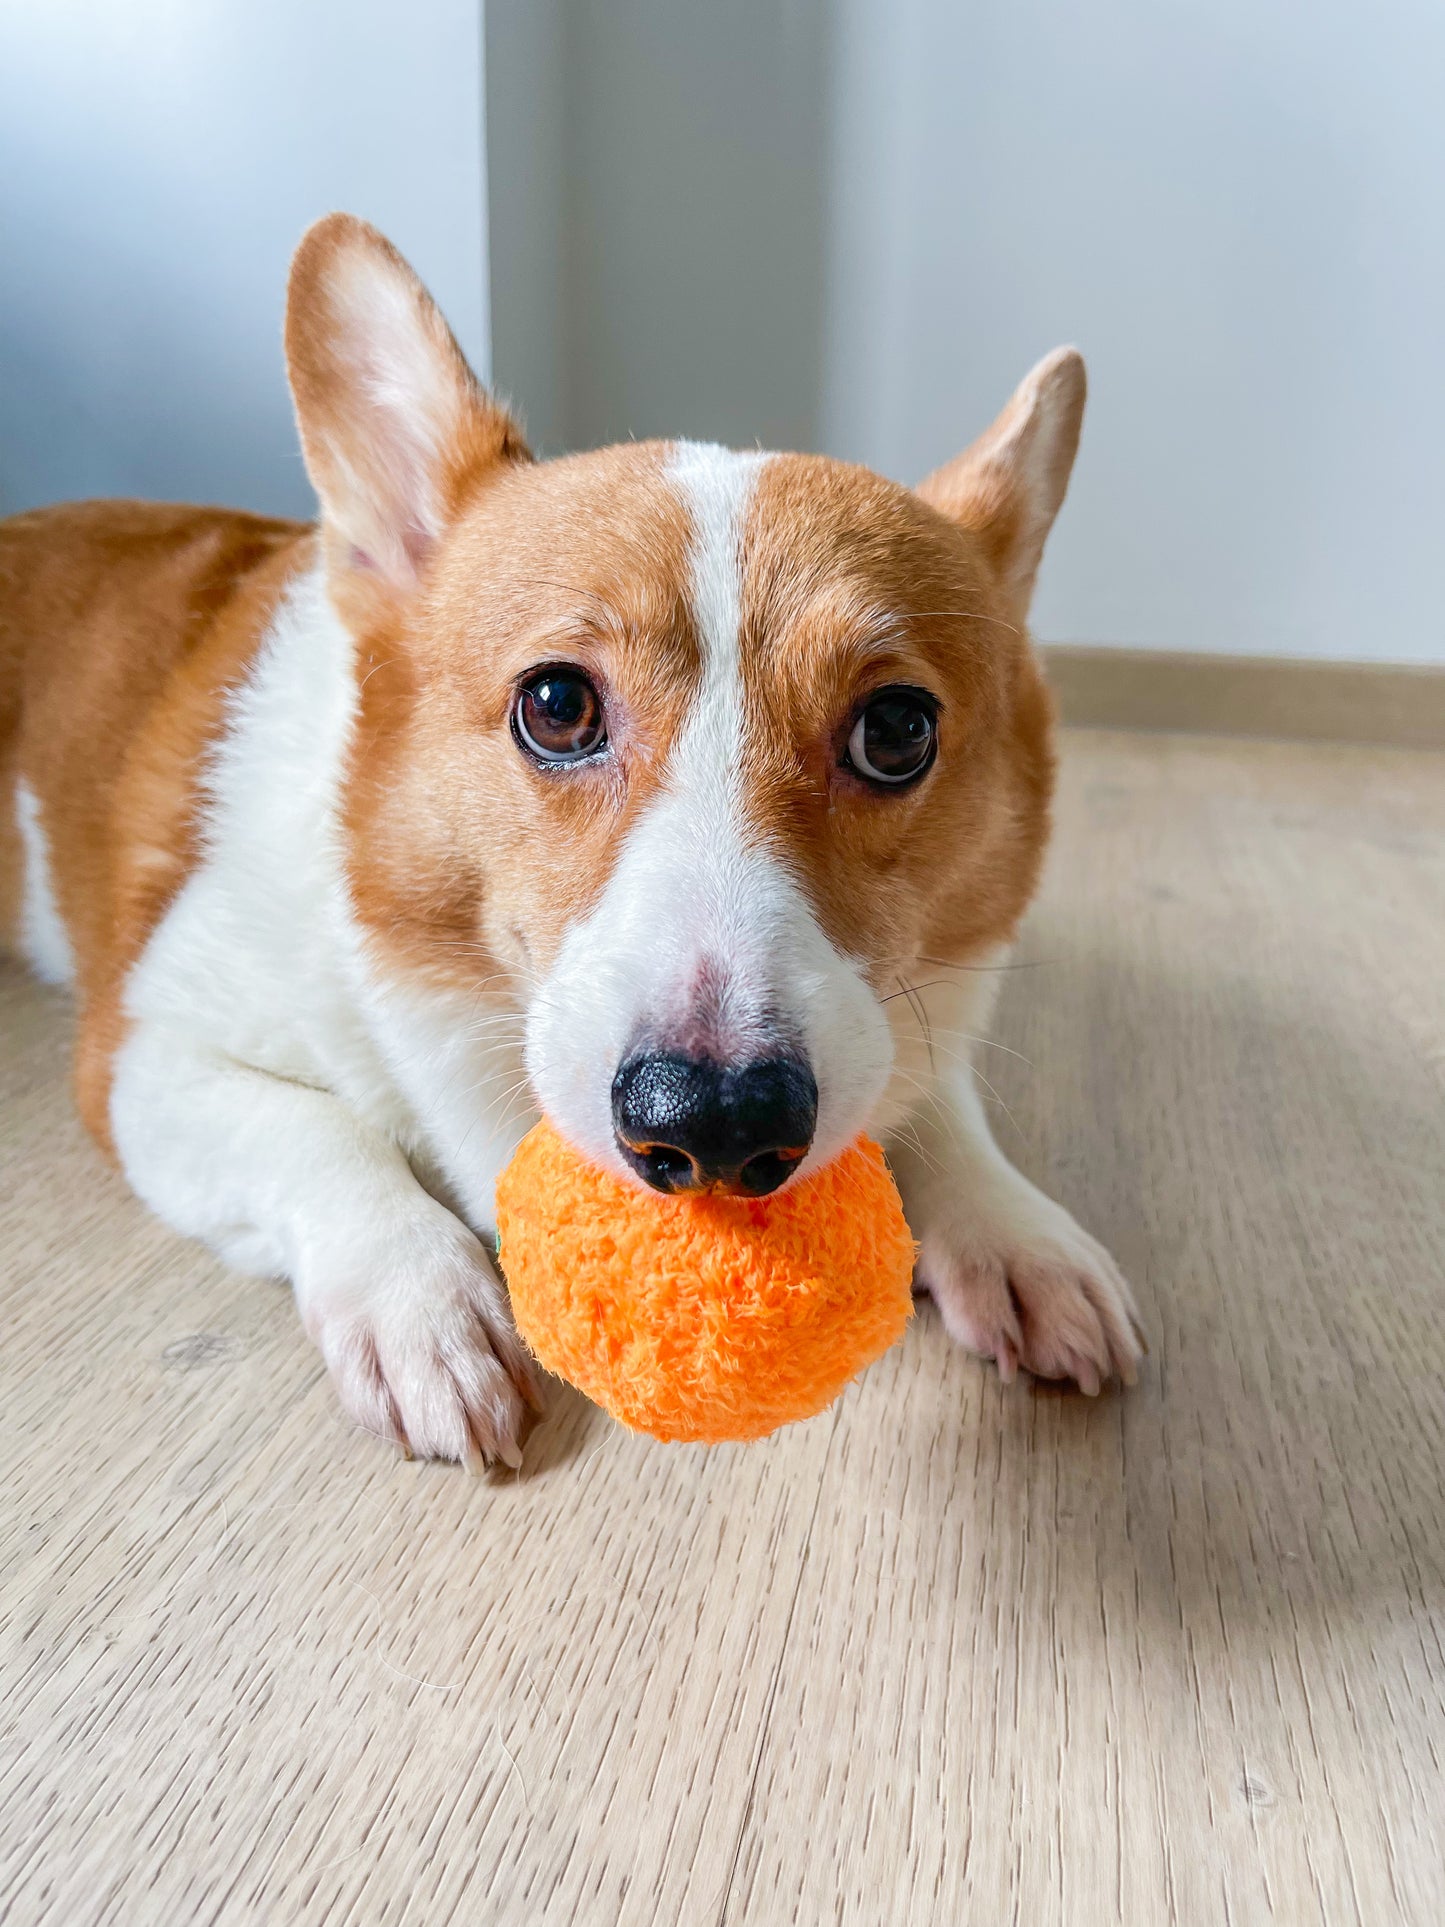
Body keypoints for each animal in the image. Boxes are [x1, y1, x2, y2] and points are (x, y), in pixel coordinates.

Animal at [2, 214, 1140, 1456]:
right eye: (555, 706)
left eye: (896, 729)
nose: (716, 1125)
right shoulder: (147, 1052)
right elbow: (319, 1136)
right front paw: (422, 1301)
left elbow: (934, 1090)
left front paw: (1011, 1229)